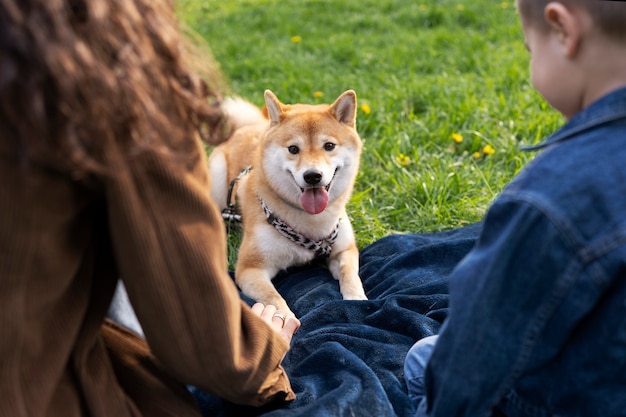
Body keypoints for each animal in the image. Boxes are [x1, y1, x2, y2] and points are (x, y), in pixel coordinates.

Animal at [210, 91, 366, 316]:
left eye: (329, 146)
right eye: (293, 149)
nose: (312, 176)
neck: (312, 222)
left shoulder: (344, 250)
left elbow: (350, 273)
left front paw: (357, 298)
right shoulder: (250, 268)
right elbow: (273, 297)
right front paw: (281, 318)